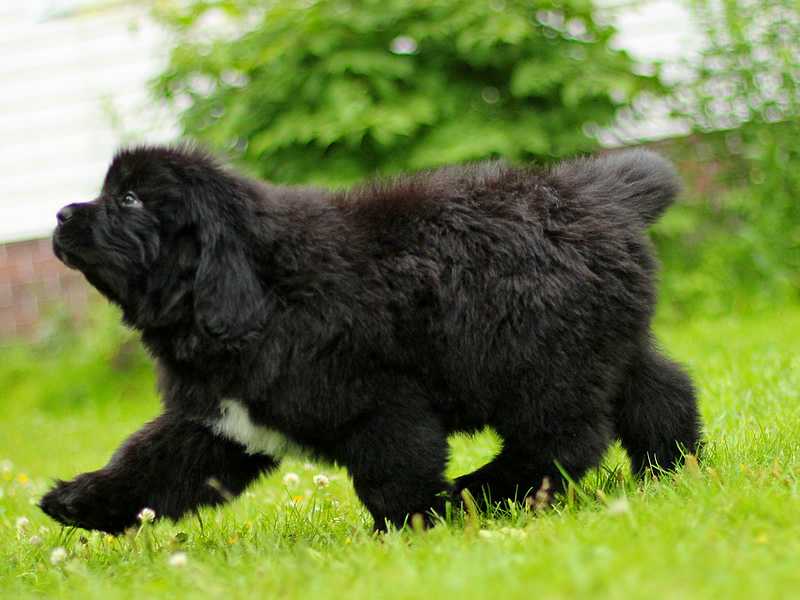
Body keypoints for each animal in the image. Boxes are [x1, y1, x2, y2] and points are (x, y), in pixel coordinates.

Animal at [39, 146, 700, 536]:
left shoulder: (379, 404)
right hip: (602, 346)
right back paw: (673, 468)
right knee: (661, 392)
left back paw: (481, 493)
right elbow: (152, 461)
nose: (61, 215)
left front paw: (406, 531)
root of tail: (600, 194)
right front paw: (81, 500)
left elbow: (392, 476)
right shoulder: (223, 419)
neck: (263, 291)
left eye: (129, 199)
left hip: (540, 360)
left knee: (564, 439)